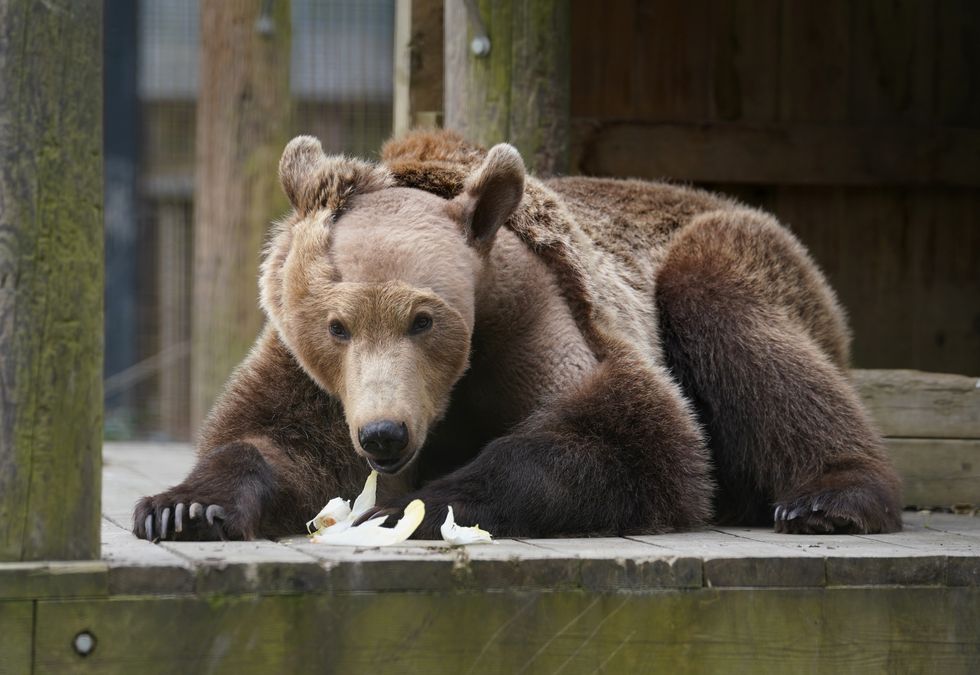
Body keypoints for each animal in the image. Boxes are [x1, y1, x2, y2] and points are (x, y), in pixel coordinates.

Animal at [134, 129, 902, 542]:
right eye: (337, 326)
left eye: (424, 318)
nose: (384, 435)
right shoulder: (314, 374)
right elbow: (273, 439)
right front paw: (183, 507)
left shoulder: (546, 325)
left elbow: (628, 436)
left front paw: (414, 506)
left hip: (733, 258)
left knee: (746, 337)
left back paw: (826, 499)